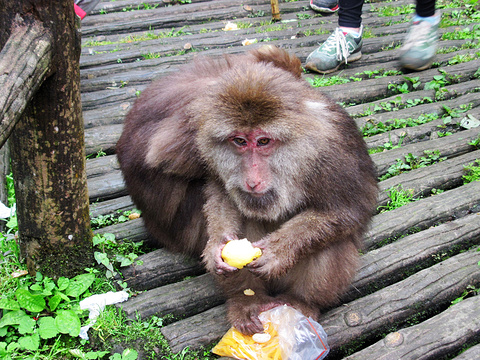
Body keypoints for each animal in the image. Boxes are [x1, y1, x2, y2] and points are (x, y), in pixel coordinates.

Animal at [116, 45, 378, 334]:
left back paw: (302, 302)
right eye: (239, 141)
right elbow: (220, 191)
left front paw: (279, 250)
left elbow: (348, 209)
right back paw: (246, 301)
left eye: (263, 141)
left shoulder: (335, 151)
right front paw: (216, 243)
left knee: (330, 240)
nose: (251, 180)